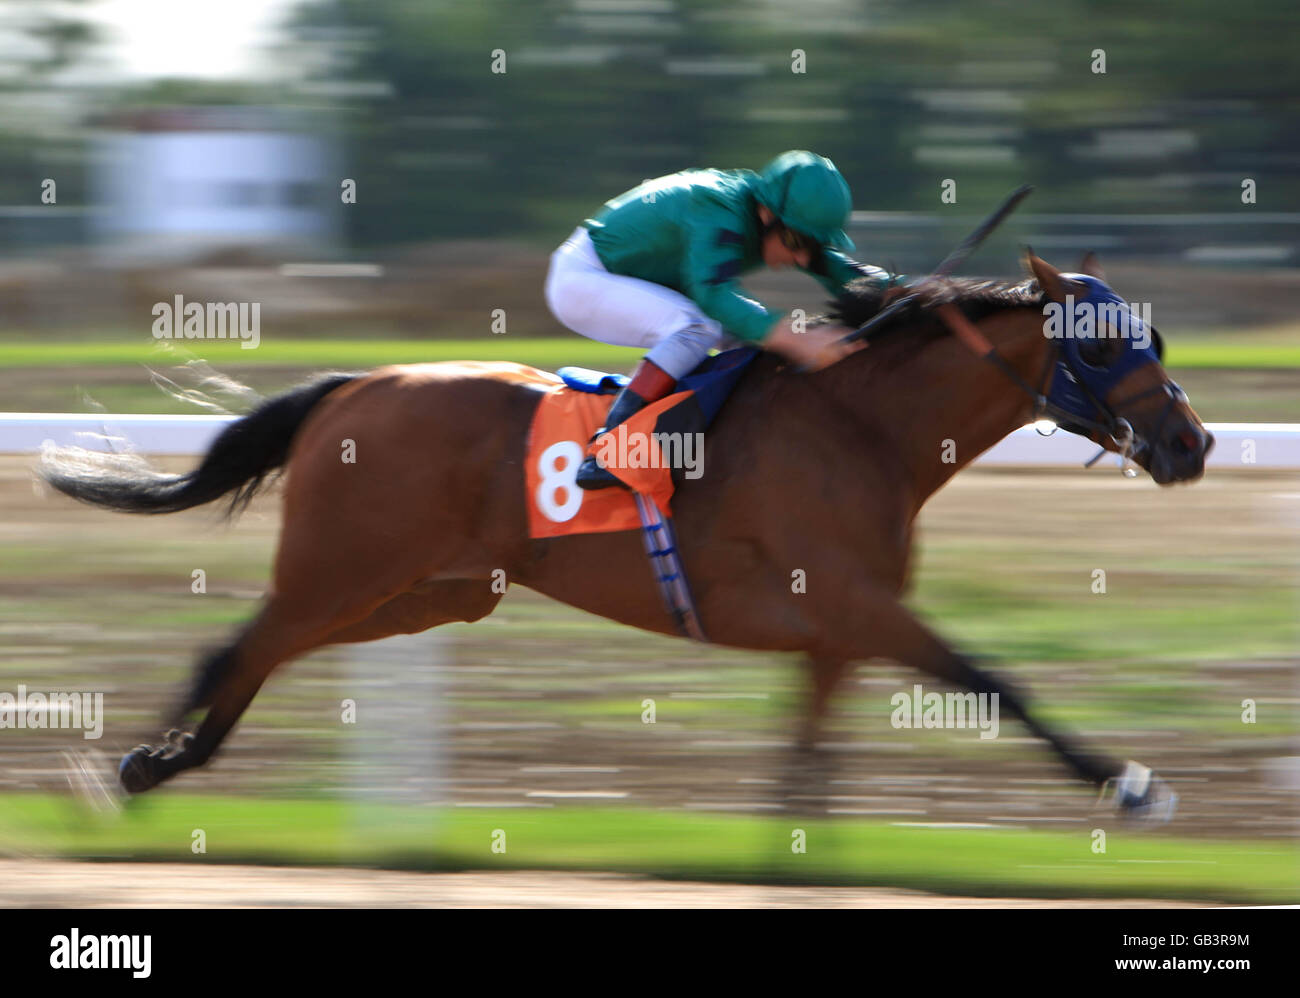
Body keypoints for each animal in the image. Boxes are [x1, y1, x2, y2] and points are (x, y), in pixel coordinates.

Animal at [43, 252, 1216, 821]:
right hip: (349, 567)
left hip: (432, 588)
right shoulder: (857, 605)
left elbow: (805, 772)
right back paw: (137, 769)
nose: (1193, 441)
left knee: (266, 647)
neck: (860, 426)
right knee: (238, 642)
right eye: (1103, 342)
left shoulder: (834, 637)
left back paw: (162, 759)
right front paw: (1128, 784)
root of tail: (355, 383)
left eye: (1150, 334)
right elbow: (994, 680)